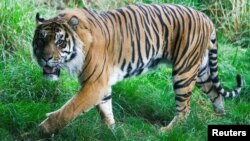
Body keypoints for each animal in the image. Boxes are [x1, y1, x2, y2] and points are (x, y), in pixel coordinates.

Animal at [32, 3, 241, 133]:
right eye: (41, 39)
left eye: (59, 41)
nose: (44, 58)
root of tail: (207, 17)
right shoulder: (101, 85)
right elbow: (105, 109)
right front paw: (111, 131)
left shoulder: (94, 84)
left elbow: (69, 109)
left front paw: (43, 129)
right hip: (201, 71)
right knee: (216, 93)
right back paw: (219, 118)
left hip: (184, 71)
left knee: (185, 109)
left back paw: (166, 131)